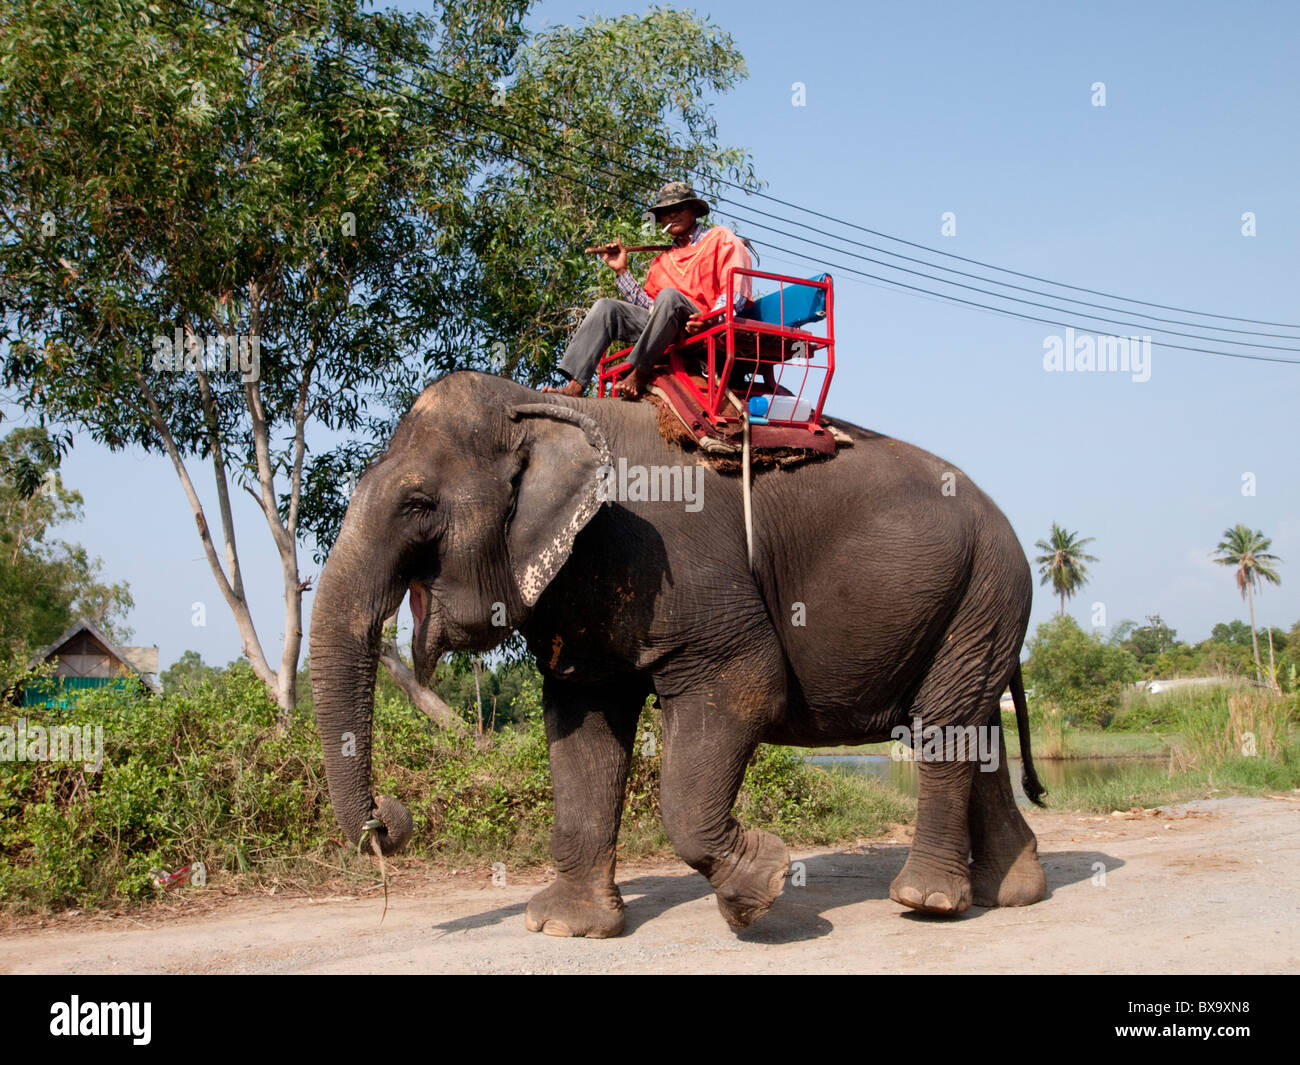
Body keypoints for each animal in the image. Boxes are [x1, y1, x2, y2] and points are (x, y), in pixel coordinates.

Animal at [309, 370, 1048, 938]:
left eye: (417, 504)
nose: (389, 819)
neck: (545, 406)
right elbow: (583, 726)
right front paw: (566, 928)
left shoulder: (677, 566)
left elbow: (747, 680)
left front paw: (762, 888)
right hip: (977, 601)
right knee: (972, 725)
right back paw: (1014, 892)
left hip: (986, 584)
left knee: (943, 726)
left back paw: (926, 903)